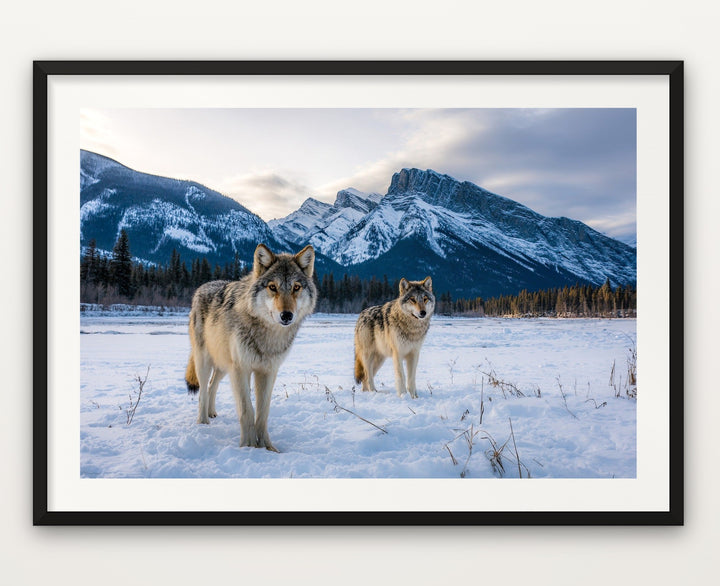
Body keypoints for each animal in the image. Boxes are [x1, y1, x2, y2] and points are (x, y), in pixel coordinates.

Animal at [185, 243, 316, 452]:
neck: (268, 337)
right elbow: (247, 411)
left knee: (213, 385)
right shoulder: (241, 369)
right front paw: (247, 447)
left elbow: (262, 413)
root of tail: (202, 287)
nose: (286, 315)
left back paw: (212, 413)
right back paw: (203, 422)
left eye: (296, 287)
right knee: (203, 391)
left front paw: (267, 448)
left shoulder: (268, 371)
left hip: (224, 366)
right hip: (205, 362)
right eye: (272, 287)